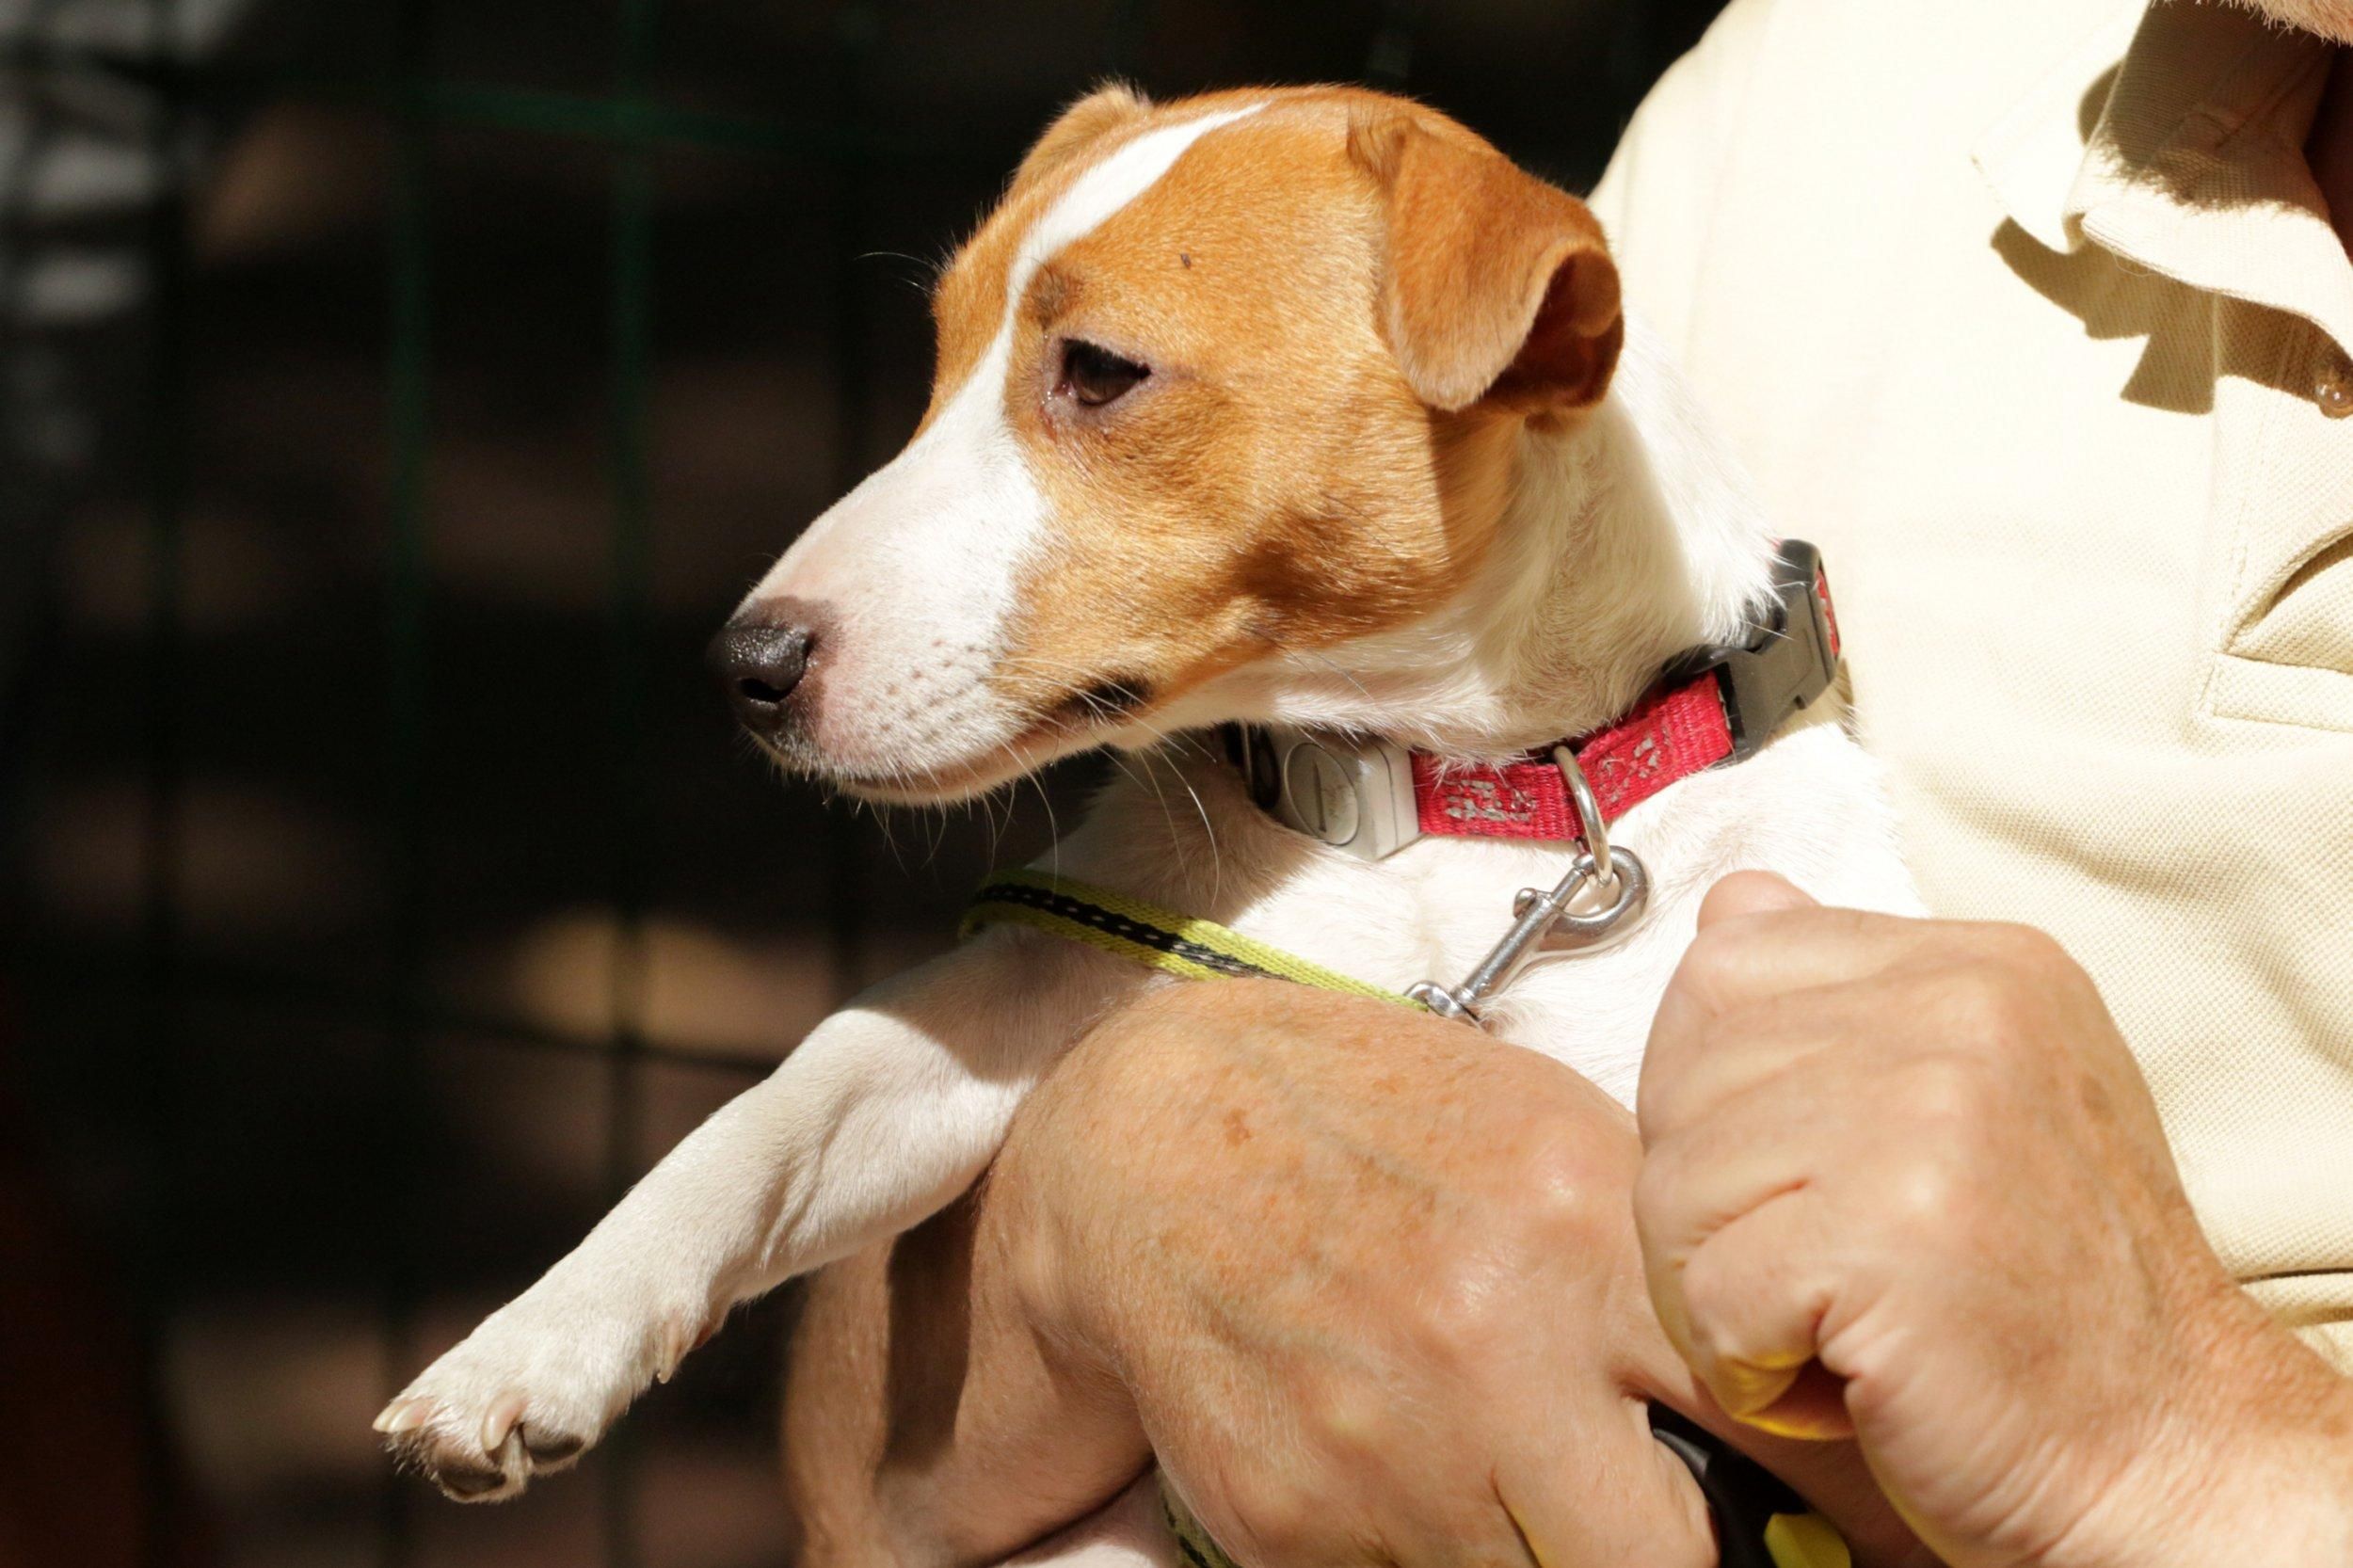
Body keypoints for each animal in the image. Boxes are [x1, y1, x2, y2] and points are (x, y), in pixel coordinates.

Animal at [376, 79, 1920, 1515]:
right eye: (940, 354)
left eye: (1101, 371)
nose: (741, 667)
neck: (1423, 807)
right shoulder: (1040, 986)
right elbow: (785, 1105)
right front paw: (531, 1343)